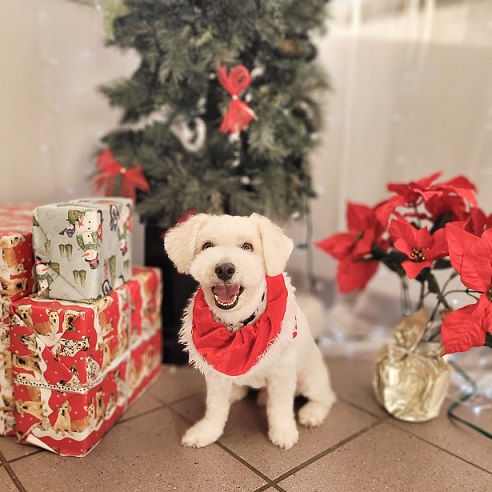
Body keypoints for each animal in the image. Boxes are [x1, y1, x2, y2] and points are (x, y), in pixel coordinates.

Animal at [164, 212, 334, 450]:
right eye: (207, 245)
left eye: (247, 246)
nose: (225, 269)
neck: (237, 322)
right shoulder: (216, 376)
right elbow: (215, 408)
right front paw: (206, 431)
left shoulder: (282, 374)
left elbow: (281, 408)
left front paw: (283, 432)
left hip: (311, 377)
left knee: (325, 397)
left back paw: (312, 412)